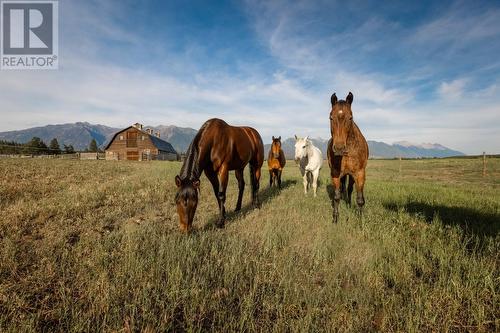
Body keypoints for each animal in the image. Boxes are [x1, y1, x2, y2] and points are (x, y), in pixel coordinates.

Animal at [326, 92, 370, 222]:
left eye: (350, 117)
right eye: (331, 117)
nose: (339, 148)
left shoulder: (360, 174)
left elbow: (360, 199)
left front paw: (360, 220)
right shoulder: (335, 173)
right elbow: (336, 196)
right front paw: (335, 218)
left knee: (350, 189)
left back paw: (349, 204)